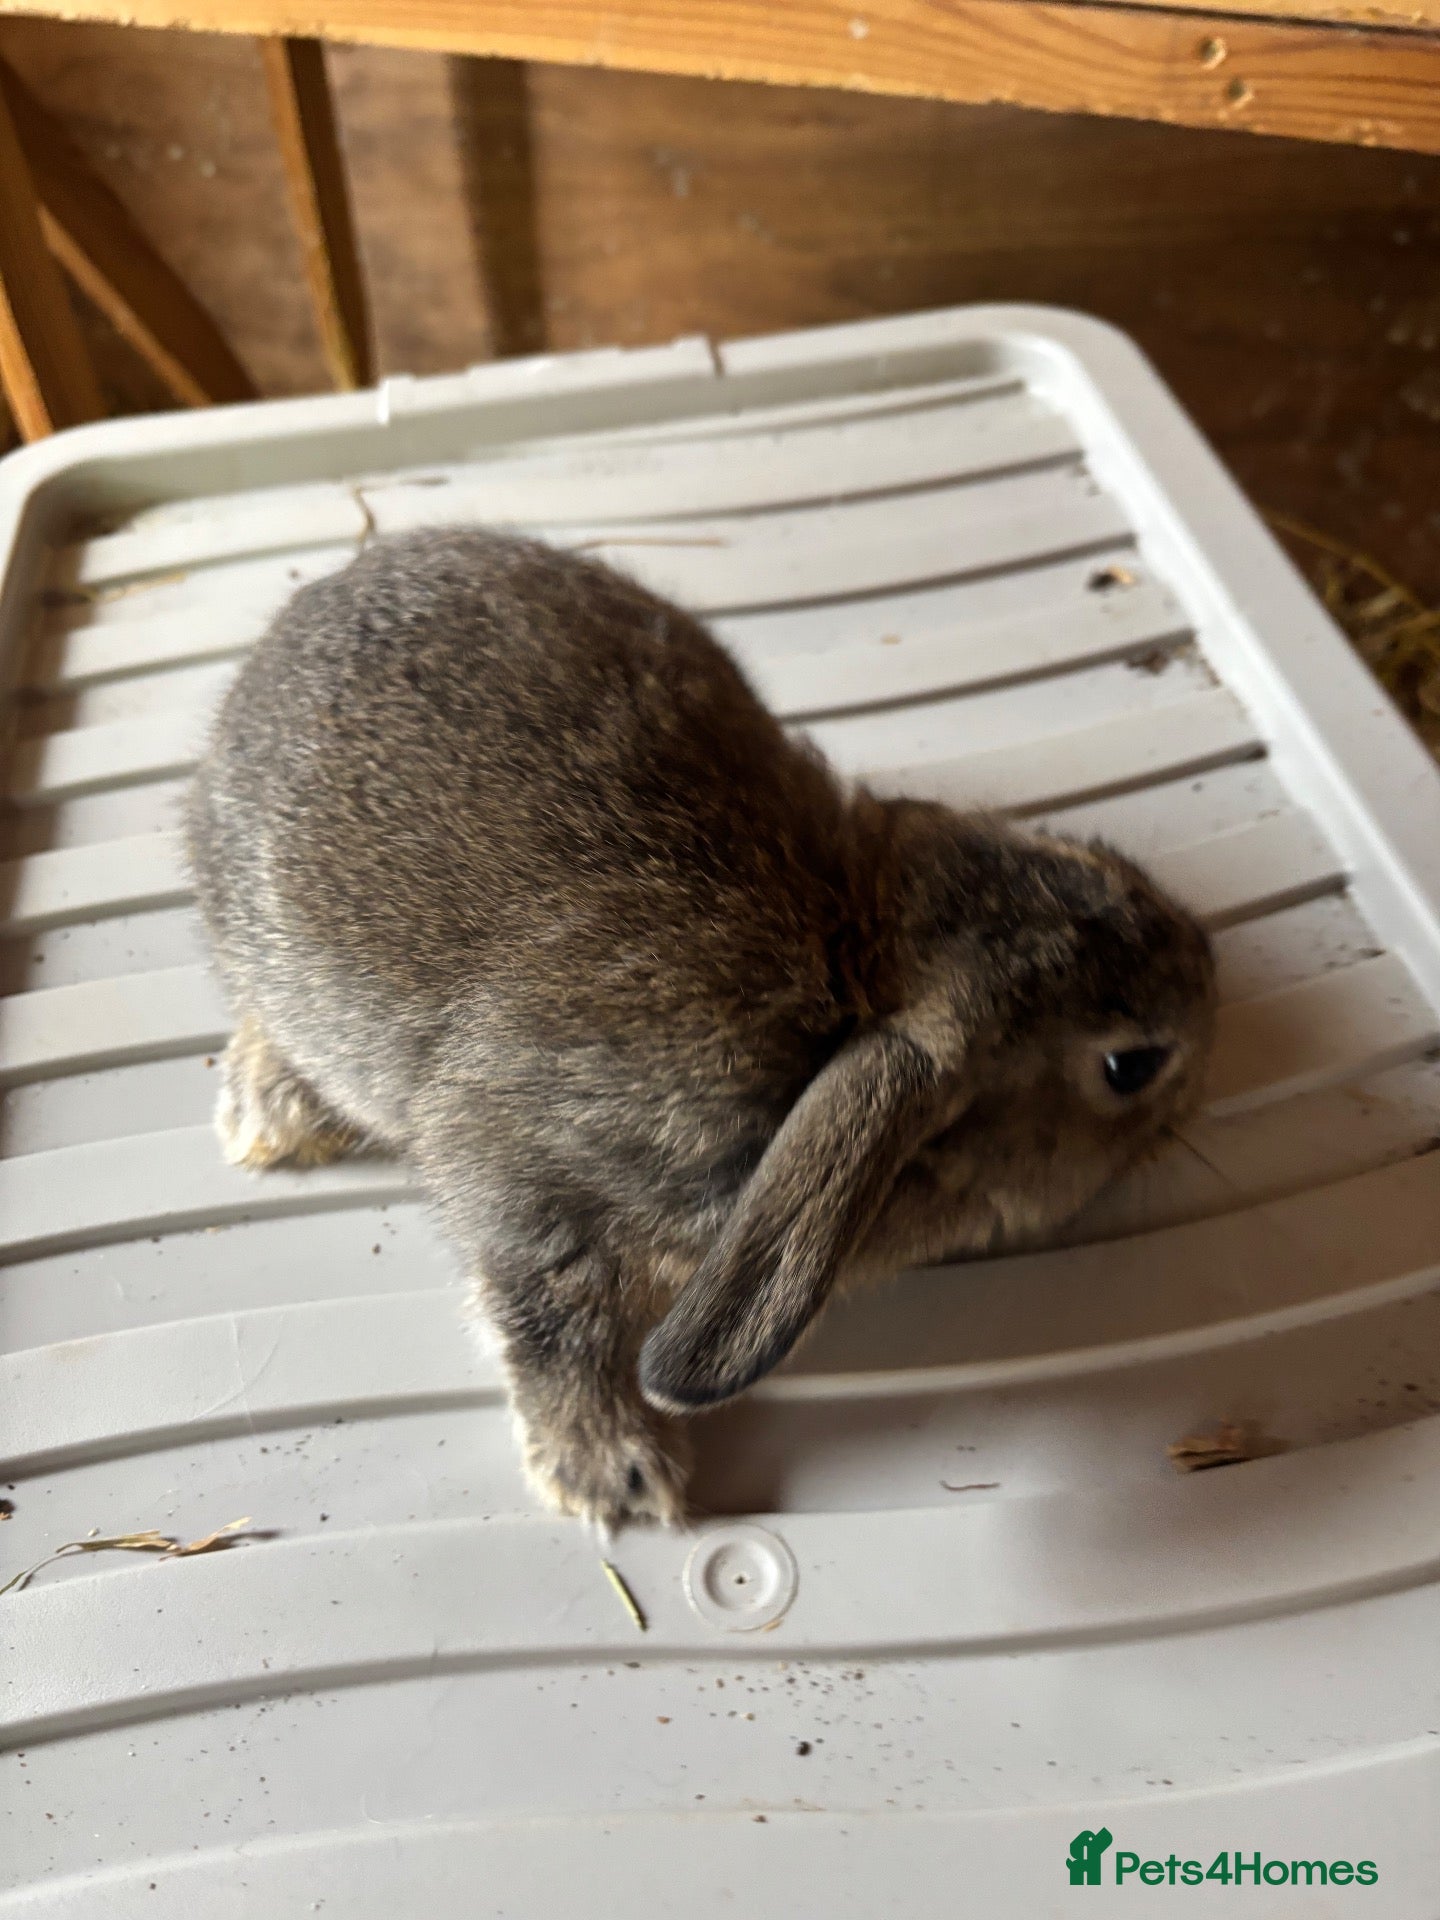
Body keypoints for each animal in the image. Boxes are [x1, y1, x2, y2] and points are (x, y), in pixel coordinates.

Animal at [185, 526, 1217, 1528]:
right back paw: (270, 1113)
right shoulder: (534, 1172)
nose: (1211, 971)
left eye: (1075, 856)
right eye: (1130, 1065)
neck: (854, 957)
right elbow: (547, 1312)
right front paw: (614, 1473)